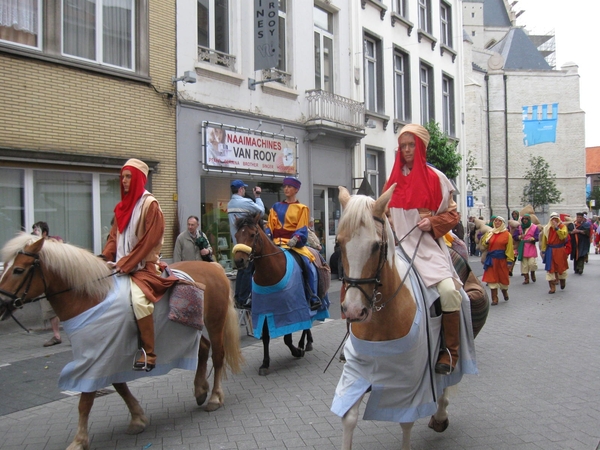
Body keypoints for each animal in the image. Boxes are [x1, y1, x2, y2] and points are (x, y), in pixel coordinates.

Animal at [0, 234, 244, 450]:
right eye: (5, 267)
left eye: (18, 270)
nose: (1, 303)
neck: (92, 298)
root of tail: (214, 268)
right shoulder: (109, 354)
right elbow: (118, 385)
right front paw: (137, 418)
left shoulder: (97, 357)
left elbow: (86, 399)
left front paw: (79, 441)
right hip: (189, 328)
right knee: (203, 349)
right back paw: (200, 390)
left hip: (214, 321)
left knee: (218, 356)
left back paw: (214, 397)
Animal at [233, 214, 328, 376]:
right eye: (236, 235)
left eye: (252, 234)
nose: (239, 261)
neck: (271, 272)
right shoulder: (264, 310)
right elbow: (265, 337)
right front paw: (265, 364)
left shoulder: (289, 310)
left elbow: (288, 338)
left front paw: (296, 351)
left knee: (308, 322)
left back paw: (303, 344)